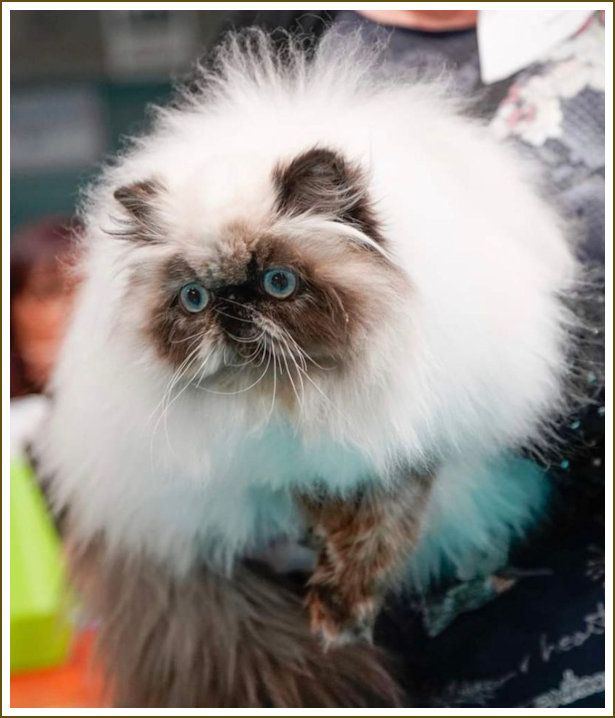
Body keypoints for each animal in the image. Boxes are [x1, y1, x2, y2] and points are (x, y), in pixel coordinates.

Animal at [34, 28, 579, 707]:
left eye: (278, 282)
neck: (293, 400)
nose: (230, 308)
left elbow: (376, 532)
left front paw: (341, 612)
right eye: (194, 299)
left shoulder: (402, 449)